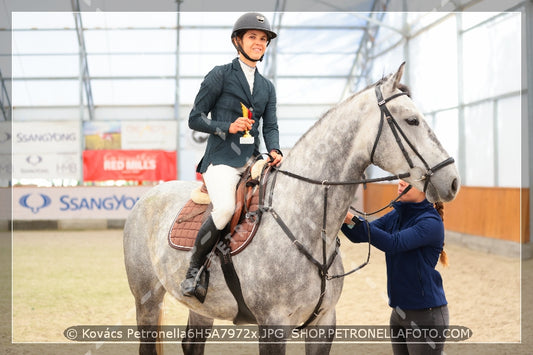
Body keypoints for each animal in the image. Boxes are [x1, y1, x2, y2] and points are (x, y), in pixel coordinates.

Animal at [123, 64, 458, 355]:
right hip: (147, 300)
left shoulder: (324, 323)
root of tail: (149, 195)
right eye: (412, 120)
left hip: (202, 307)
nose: (453, 181)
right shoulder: (273, 325)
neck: (306, 223)